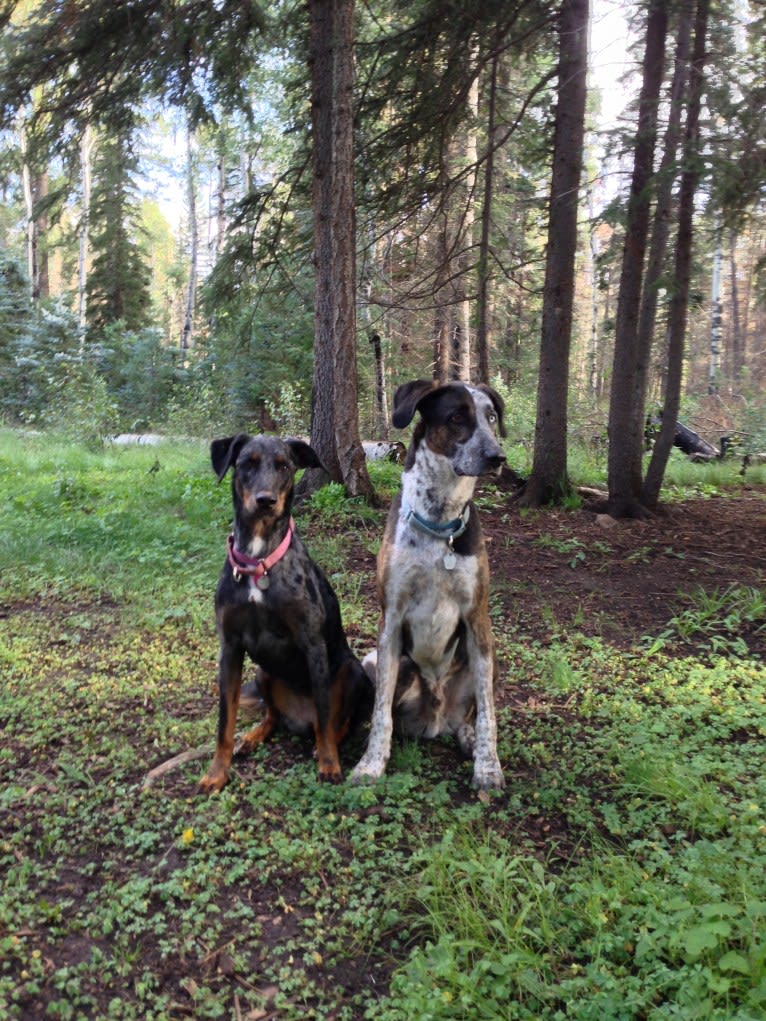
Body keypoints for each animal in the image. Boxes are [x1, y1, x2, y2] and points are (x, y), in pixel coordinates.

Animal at [202, 430, 373, 788]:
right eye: (247, 463)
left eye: (284, 466)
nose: (265, 500)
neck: (259, 561)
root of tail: (299, 721)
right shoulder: (230, 648)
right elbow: (224, 721)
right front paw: (216, 773)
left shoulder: (314, 646)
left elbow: (325, 714)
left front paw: (329, 765)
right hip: (263, 672)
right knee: (273, 715)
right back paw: (252, 736)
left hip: (353, 673)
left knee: (337, 723)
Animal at [353, 381, 510, 788]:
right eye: (456, 417)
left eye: (491, 417)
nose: (497, 456)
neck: (440, 524)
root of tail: (437, 719)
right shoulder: (390, 619)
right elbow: (380, 713)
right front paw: (371, 763)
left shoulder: (477, 618)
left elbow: (488, 715)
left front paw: (488, 766)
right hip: (377, 661)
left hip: (487, 660)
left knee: (472, 715)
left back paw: (468, 740)